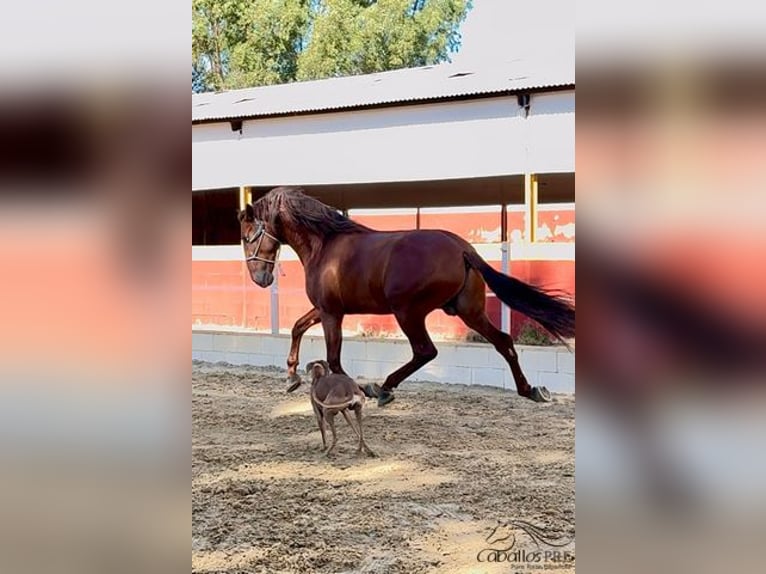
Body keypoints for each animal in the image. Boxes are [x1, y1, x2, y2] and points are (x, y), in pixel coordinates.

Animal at [240, 187, 576, 408]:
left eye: (246, 236)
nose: (260, 279)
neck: (324, 245)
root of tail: (462, 248)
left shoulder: (331, 312)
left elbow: (334, 358)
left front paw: (357, 389)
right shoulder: (324, 308)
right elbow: (297, 327)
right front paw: (291, 377)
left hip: (408, 312)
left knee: (425, 351)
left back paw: (383, 387)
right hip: (469, 311)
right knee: (503, 341)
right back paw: (530, 389)